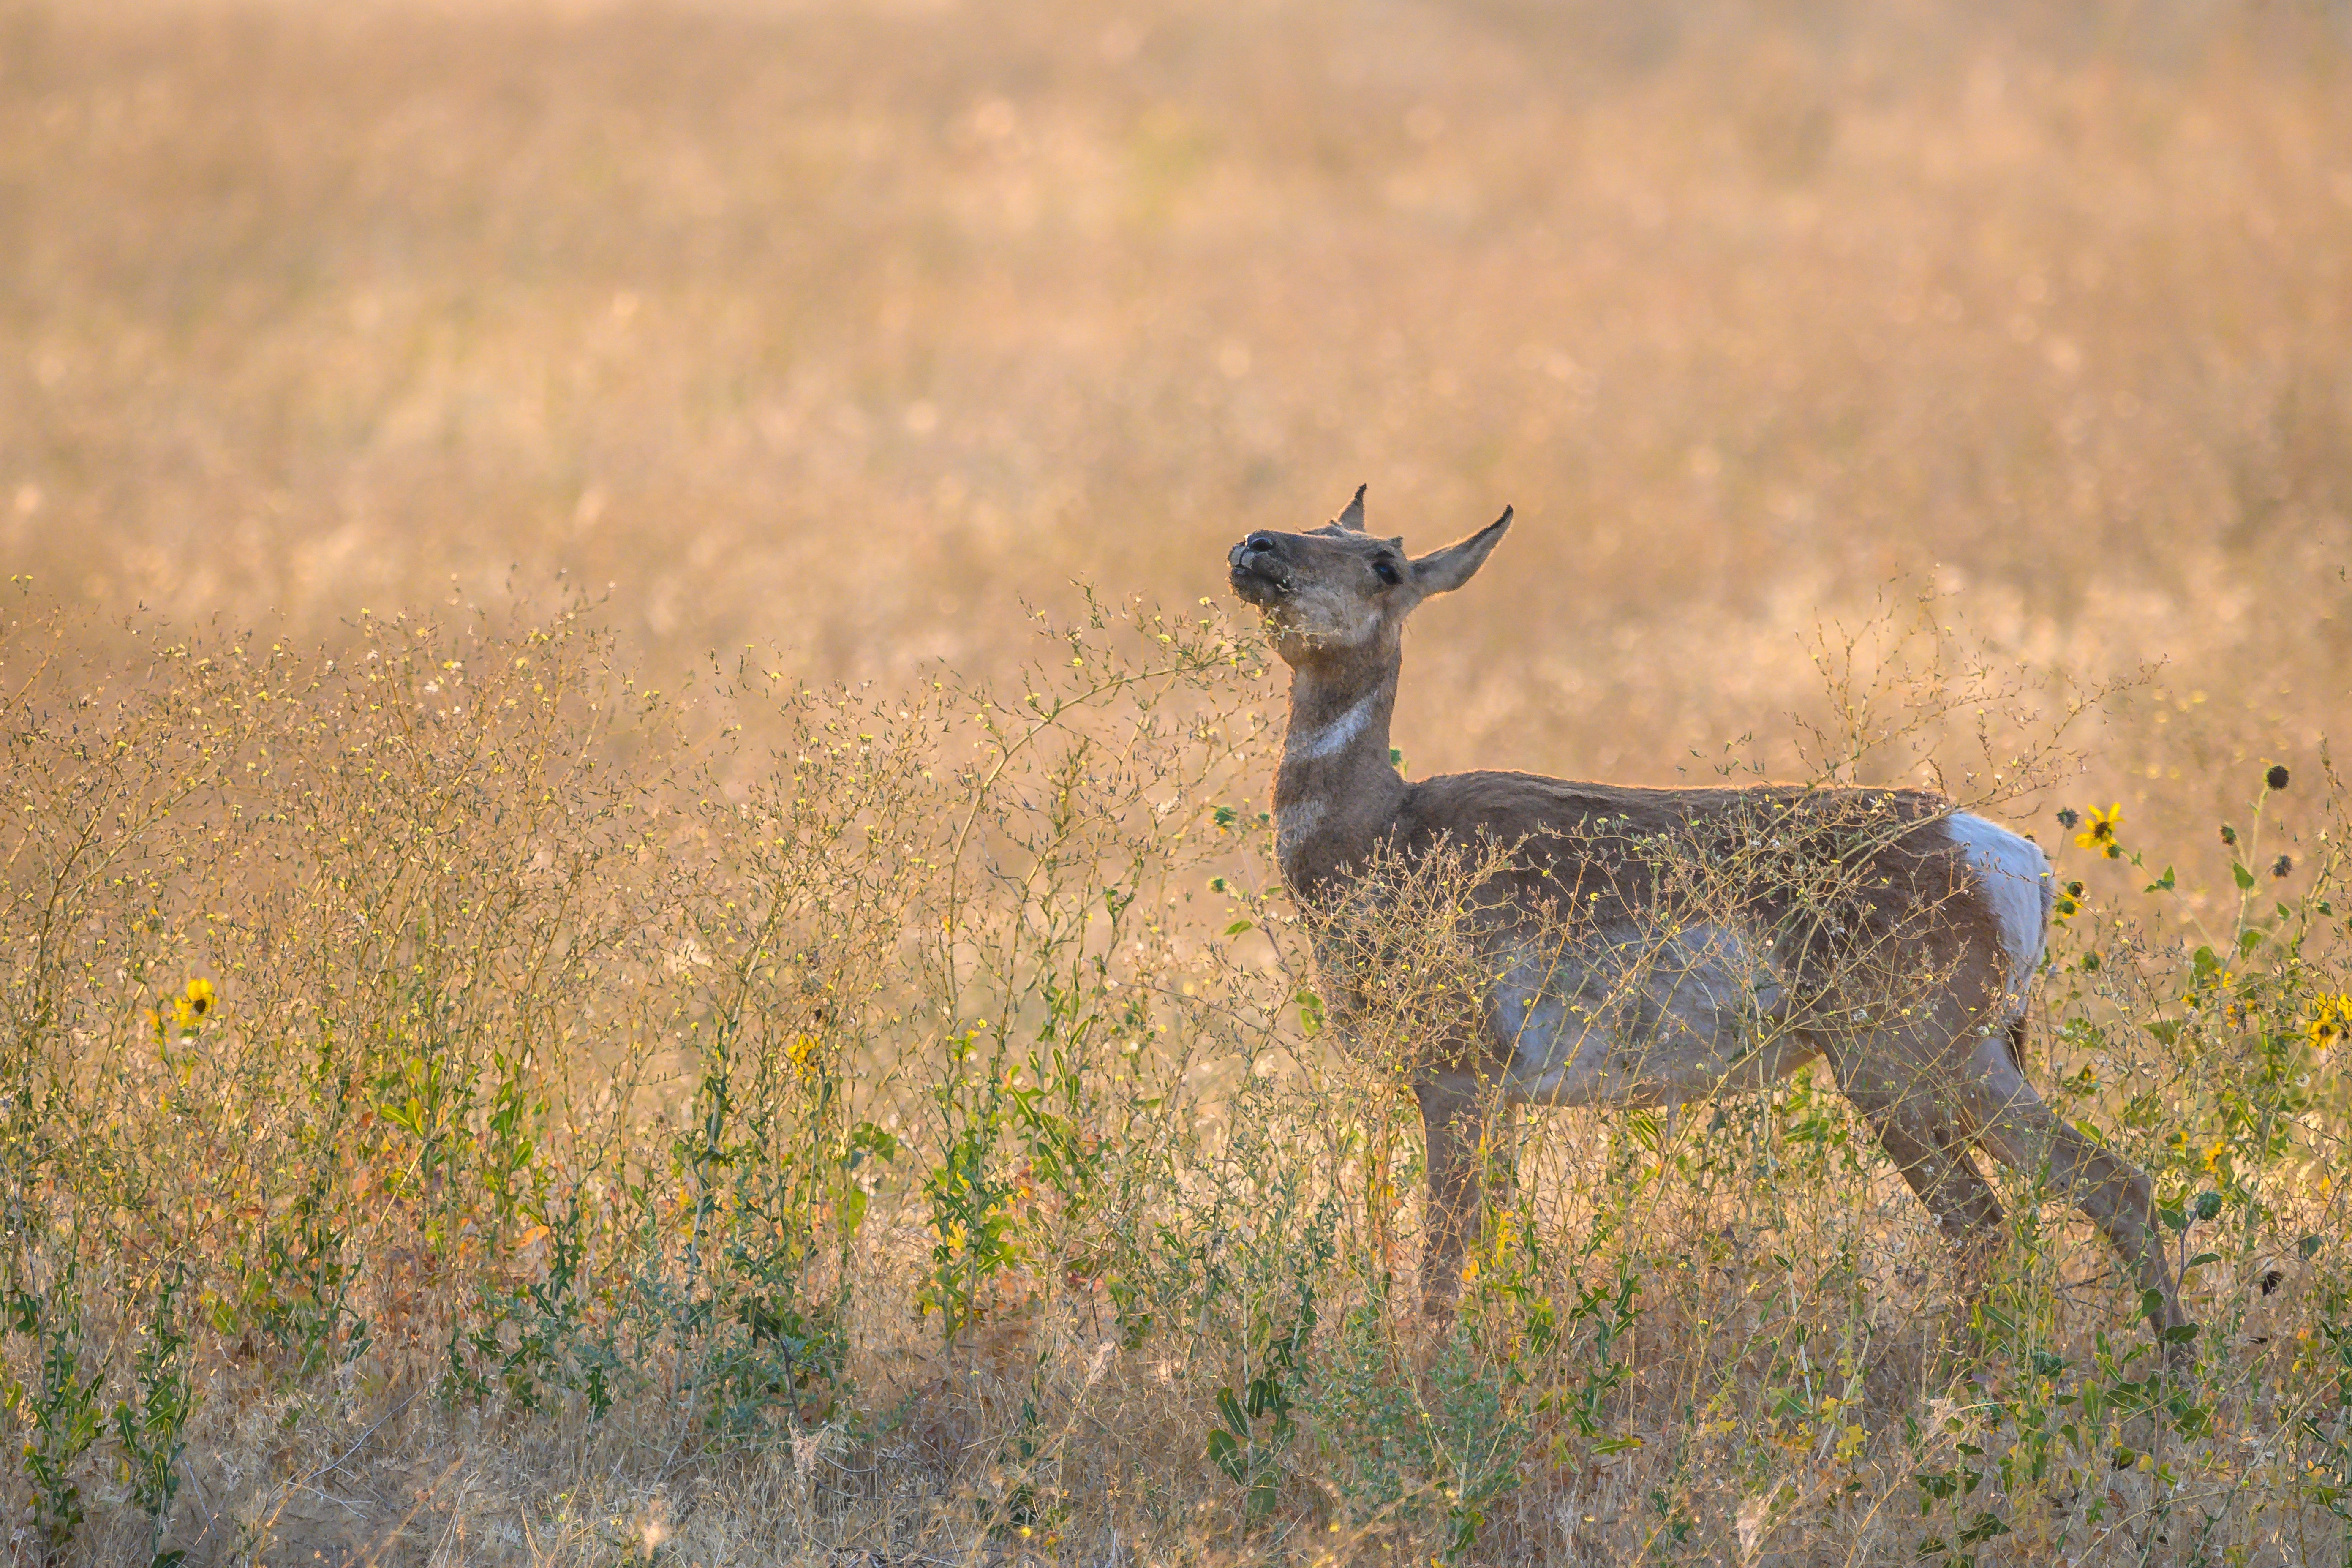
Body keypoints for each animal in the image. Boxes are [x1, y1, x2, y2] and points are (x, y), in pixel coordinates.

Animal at [1232, 491, 2183, 1354]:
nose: (1257, 542)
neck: (1381, 836)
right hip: (1969, 1057)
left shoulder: (1455, 1074)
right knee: (2110, 1184)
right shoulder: (1496, 1096)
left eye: (1384, 564)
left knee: (1986, 1217)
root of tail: (2015, 860)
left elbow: (1440, 1263)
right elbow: (1489, 1248)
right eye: (1321, 519)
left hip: (1897, 1064)